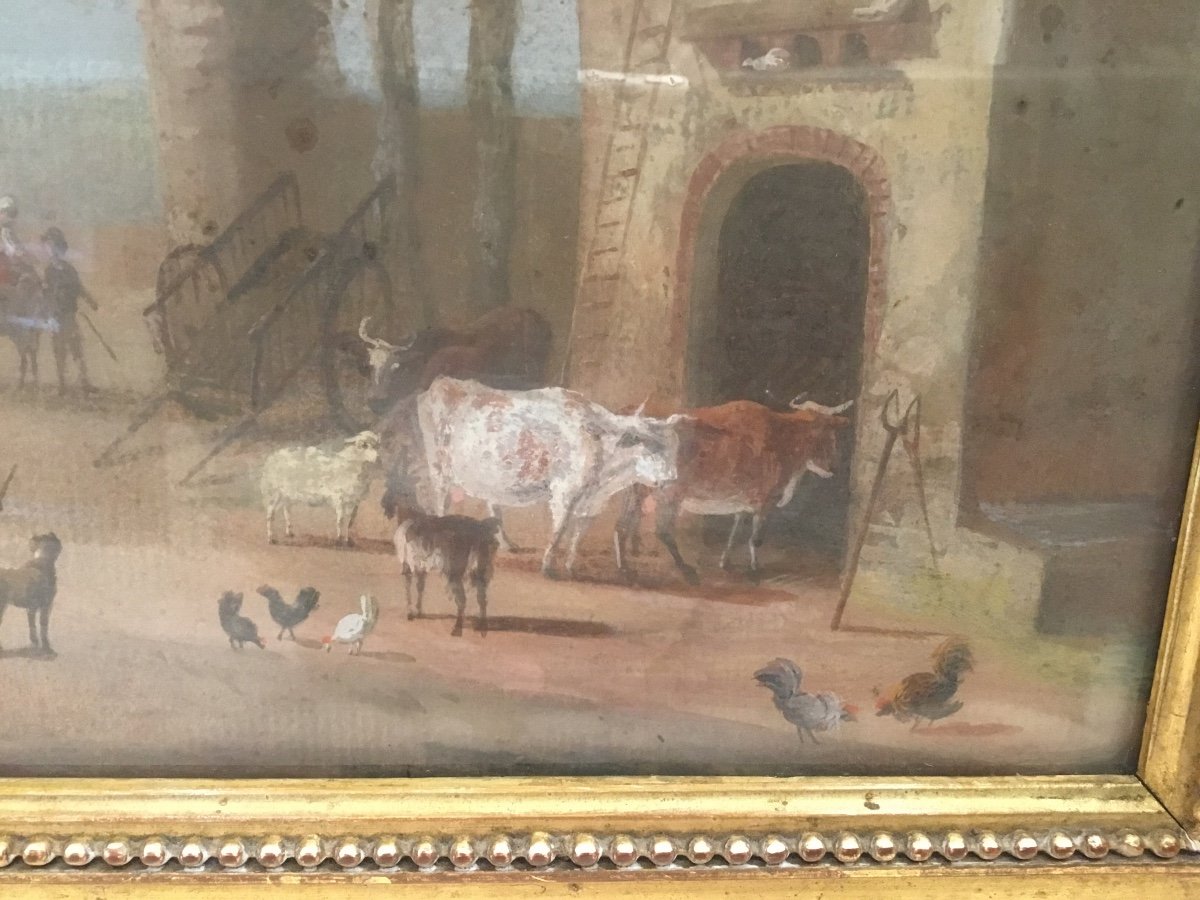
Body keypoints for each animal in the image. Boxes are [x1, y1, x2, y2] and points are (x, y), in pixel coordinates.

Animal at [417, 377, 687, 579]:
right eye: (650, 448)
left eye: (675, 447)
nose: (672, 478)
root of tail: (443, 382)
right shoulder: (564, 493)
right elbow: (560, 530)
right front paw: (548, 567)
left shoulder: (593, 502)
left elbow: (578, 535)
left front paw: (570, 567)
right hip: (439, 467)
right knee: (441, 503)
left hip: (489, 476)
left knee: (493, 504)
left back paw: (506, 544)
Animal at [614, 396, 853, 584]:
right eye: (826, 433)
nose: (833, 467)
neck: (782, 439)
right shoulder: (765, 500)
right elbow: (755, 538)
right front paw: (755, 570)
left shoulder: (744, 500)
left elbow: (736, 529)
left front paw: (725, 562)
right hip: (669, 493)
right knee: (662, 531)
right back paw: (686, 571)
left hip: (636, 488)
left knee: (622, 525)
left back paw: (624, 569)